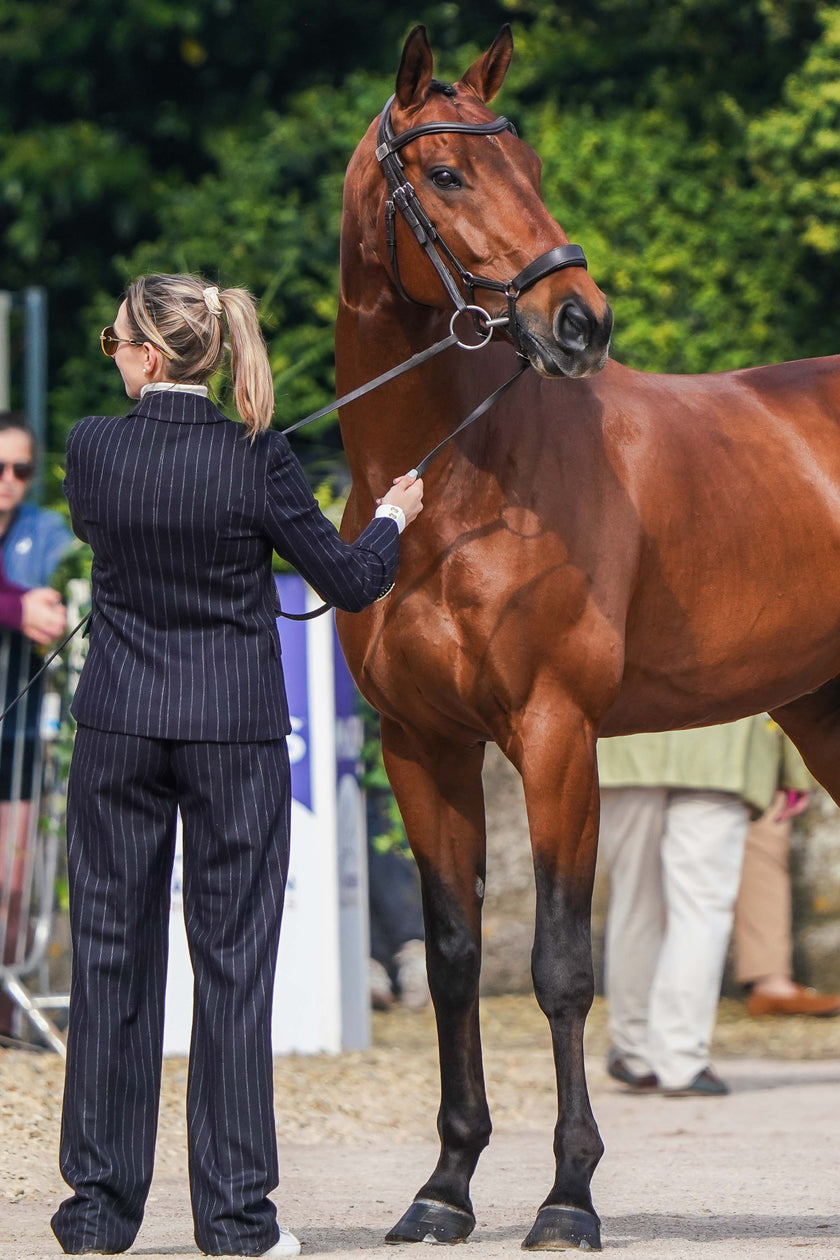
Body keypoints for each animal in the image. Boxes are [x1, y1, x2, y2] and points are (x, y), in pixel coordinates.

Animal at [332, 24, 840, 1254]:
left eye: (532, 169)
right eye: (448, 173)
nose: (579, 322)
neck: (462, 480)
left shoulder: (557, 737)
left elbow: (562, 966)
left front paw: (568, 1194)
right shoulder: (423, 747)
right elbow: (456, 961)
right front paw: (445, 1186)